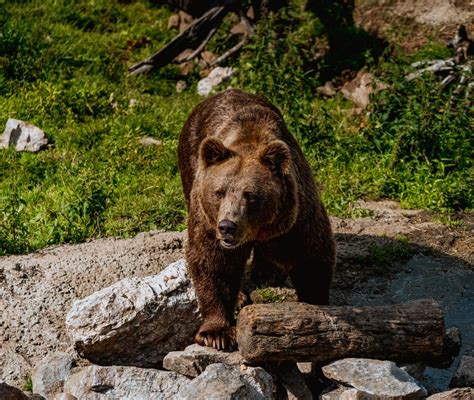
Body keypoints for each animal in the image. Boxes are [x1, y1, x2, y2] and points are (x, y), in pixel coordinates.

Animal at [178, 90, 336, 350]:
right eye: (219, 192)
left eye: (250, 195)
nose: (227, 227)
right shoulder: (207, 219)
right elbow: (212, 262)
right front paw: (216, 333)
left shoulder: (296, 218)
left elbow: (312, 256)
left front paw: (316, 306)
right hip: (190, 163)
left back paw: (267, 272)